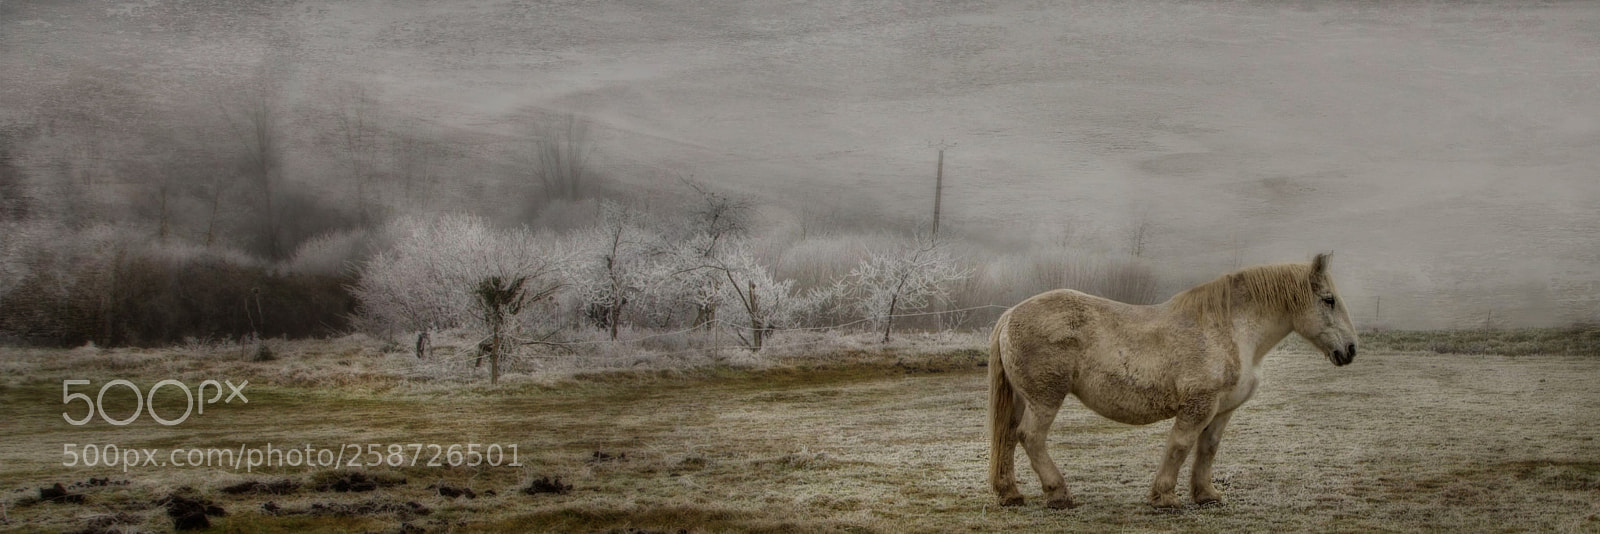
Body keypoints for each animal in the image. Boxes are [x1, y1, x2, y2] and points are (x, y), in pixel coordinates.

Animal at [987, 253, 1358, 509]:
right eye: (1328, 300)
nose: (1351, 349)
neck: (1231, 330)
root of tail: (1009, 315)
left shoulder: (1222, 410)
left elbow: (1207, 449)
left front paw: (1206, 495)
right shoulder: (1198, 405)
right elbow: (1180, 445)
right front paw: (1164, 497)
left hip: (1022, 398)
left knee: (1008, 436)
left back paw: (1010, 494)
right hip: (1046, 398)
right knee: (1030, 437)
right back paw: (1059, 494)